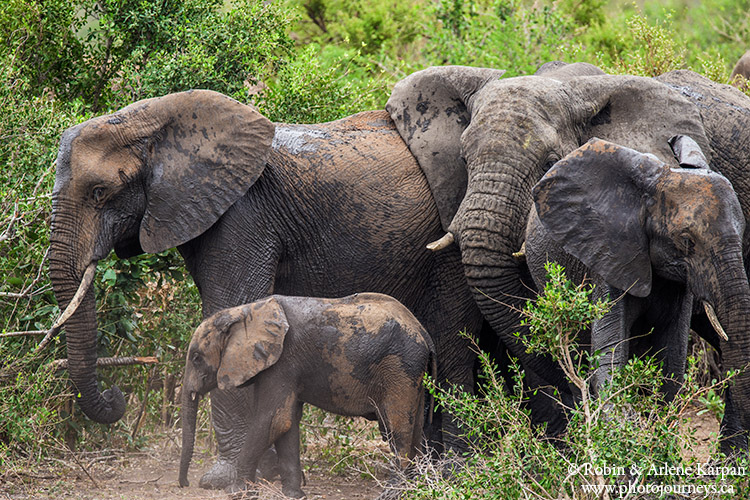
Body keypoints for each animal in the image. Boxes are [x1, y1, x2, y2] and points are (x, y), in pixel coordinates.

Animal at [180, 292, 438, 496]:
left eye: (196, 358)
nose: (185, 484)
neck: (244, 312)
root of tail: (425, 334)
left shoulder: (282, 363)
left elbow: (274, 420)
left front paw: (236, 491)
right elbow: (287, 423)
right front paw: (294, 495)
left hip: (400, 368)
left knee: (398, 430)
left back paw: (392, 493)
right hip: (413, 374)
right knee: (415, 430)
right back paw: (416, 489)